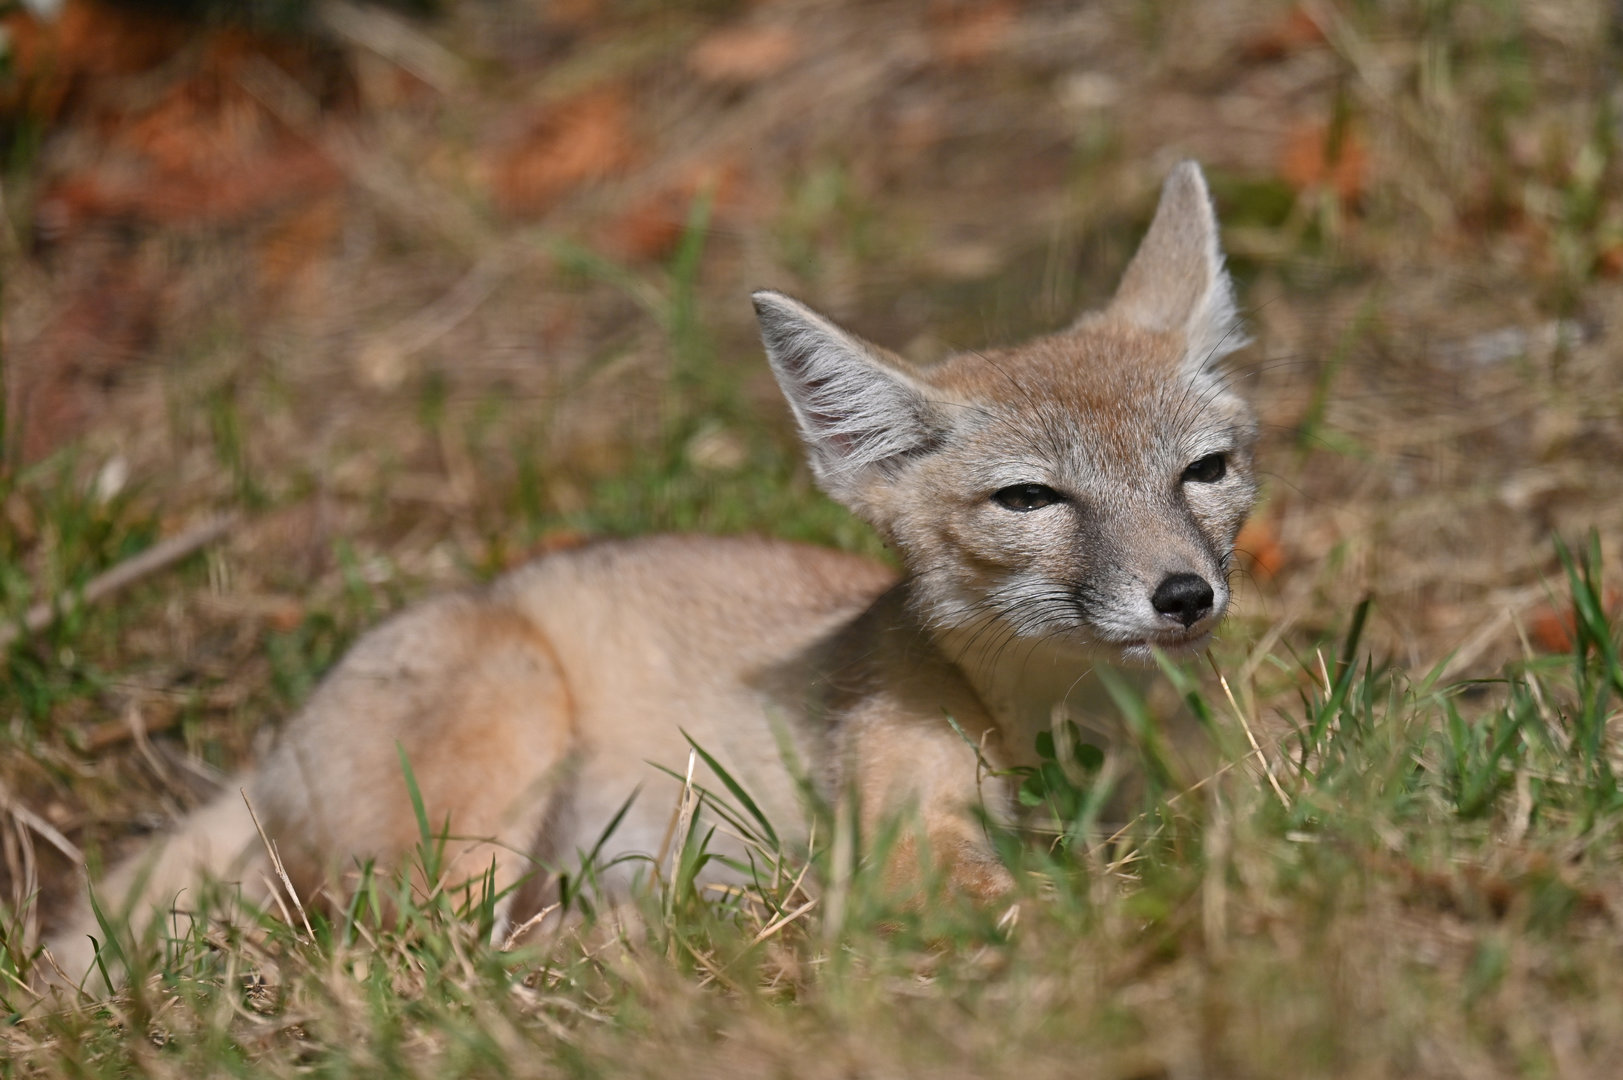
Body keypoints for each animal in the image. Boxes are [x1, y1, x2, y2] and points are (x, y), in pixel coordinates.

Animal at [44, 160, 1257, 989]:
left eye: (1204, 472)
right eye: (1030, 500)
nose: (1182, 596)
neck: (1061, 727)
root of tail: (273, 750)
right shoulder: (908, 845)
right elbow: (1025, 901)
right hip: (505, 740)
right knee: (435, 951)